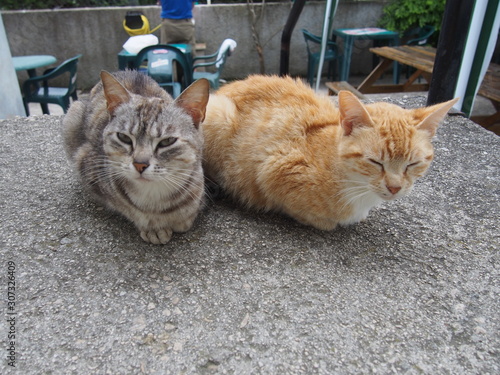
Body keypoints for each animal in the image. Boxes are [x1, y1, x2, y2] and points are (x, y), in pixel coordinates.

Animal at [62, 71, 209, 245]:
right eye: (124, 137)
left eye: (167, 141)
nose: (140, 164)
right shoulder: (86, 163)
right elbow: (130, 210)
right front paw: (154, 228)